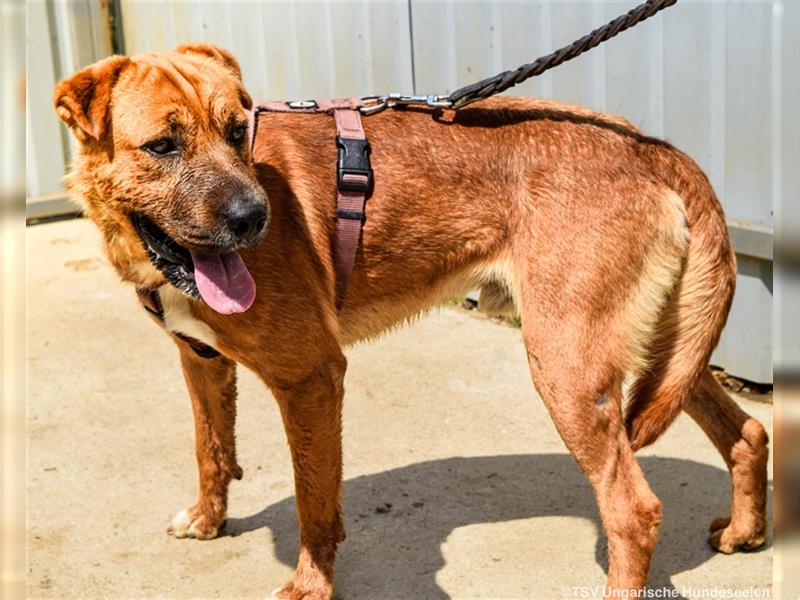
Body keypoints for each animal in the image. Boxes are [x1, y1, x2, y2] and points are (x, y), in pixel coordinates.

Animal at [54, 45, 768, 600]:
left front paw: (311, 585)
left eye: (237, 131)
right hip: (660, 353)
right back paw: (745, 530)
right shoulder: (200, 361)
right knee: (748, 429)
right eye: (162, 146)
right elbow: (211, 449)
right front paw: (207, 520)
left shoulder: (311, 377)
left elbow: (314, 499)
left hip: (568, 365)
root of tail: (656, 150)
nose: (254, 219)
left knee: (634, 510)